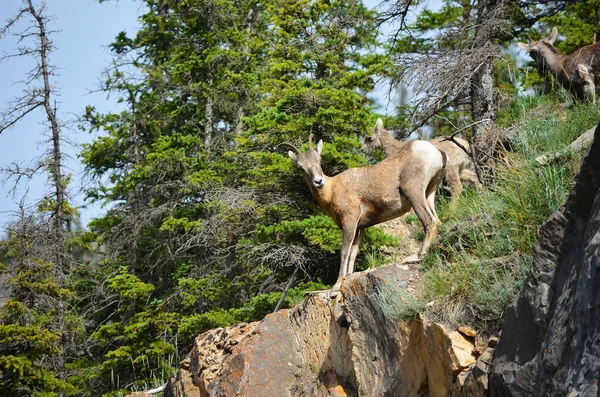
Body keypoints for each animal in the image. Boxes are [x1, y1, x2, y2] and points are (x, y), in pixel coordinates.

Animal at [284, 131, 446, 290]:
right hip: (429, 193)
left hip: (414, 193)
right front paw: (348, 276)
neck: (332, 190)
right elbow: (353, 253)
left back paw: (419, 255)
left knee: (429, 221)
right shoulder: (360, 227)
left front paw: (336, 285)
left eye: (319, 160)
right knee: (437, 220)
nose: (318, 181)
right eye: (301, 167)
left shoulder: (349, 222)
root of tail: (435, 153)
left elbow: (344, 252)